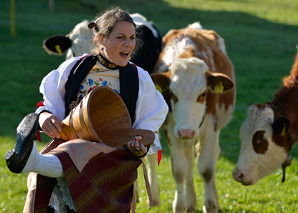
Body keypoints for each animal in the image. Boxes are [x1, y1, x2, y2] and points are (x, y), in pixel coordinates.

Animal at [150, 22, 236, 212]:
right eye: (172, 94)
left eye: (203, 94)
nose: (186, 132)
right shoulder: (170, 127)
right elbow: (180, 169)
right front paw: (180, 205)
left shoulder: (211, 125)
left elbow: (206, 168)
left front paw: (210, 205)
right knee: (189, 158)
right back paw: (190, 201)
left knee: (213, 153)